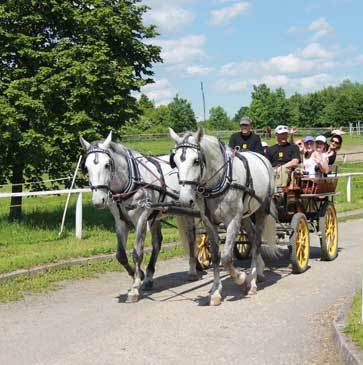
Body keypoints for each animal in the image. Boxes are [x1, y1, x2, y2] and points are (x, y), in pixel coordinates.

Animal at [80, 131, 199, 302]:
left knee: (191, 237)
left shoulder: (141, 218)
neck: (129, 182)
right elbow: (121, 255)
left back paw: (192, 270)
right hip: (156, 216)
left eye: (107, 165)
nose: (98, 200)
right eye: (86, 167)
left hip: (189, 209)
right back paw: (149, 277)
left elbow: (137, 253)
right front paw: (140, 275)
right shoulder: (120, 222)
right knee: (157, 243)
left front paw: (135, 287)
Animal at [169, 127, 280, 304]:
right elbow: (215, 255)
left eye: (196, 161)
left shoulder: (233, 220)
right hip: (246, 215)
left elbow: (226, 257)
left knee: (257, 241)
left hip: (261, 210)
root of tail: (263, 159)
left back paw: (252, 281)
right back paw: (259, 271)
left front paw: (240, 277)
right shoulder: (209, 222)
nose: (185, 200)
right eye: (175, 162)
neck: (221, 180)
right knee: (252, 236)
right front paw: (215, 291)